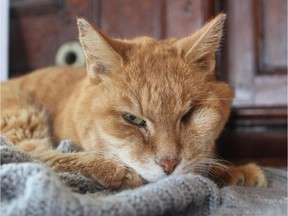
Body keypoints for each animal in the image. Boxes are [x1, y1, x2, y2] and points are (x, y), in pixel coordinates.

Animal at [0, 13, 266, 189]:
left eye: (189, 114)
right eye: (133, 119)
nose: (169, 164)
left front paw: (234, 171)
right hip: (21, 115)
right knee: (31, 155)